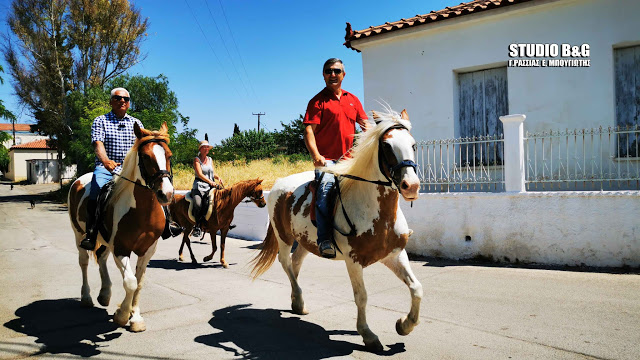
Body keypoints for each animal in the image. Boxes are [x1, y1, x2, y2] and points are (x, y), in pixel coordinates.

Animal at [67, 122, 175, 334]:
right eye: (146, 156)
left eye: (168, 155)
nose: (166, 194)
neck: (141, 211)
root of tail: (78, 180)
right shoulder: (121, 248)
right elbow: (130, 282)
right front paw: (122, 315)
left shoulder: (147, 250)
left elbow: (139, 283)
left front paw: (136, 317)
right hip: (79, 235)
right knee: (84, 262)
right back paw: (87, 297)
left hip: (105, 241)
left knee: (101, 258)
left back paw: (104, 294)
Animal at [251, 109, 424, 352]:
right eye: (387, 146)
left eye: (413, 144)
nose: (412, 186)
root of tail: (279, 183)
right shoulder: (354, 261)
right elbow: (361, 296)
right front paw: (368, 335)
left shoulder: (395, 255)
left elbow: (416, 288)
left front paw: (404, 325)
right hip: (284, 238)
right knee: (286, 263)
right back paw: (299, 300)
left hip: (306, 241)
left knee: (296, 263)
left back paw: (296, 301)